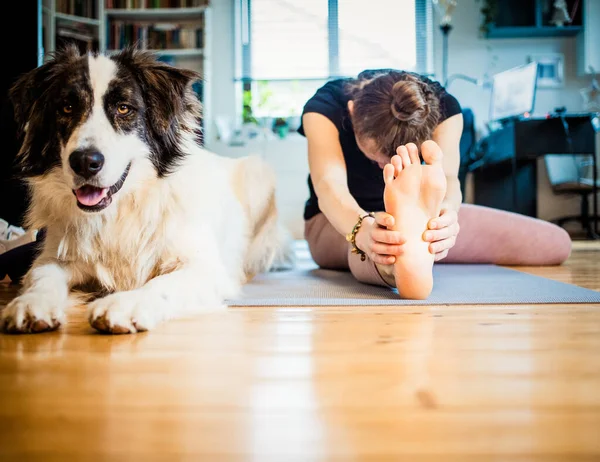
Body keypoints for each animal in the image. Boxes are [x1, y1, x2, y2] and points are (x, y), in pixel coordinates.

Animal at [0, 47, 290, 334]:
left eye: (123, 108)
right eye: (67, 107)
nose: (84, 161)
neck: (121, 210)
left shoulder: (204, 268)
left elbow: (161, 285)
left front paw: (124, 305)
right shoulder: (55, 255)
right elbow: (41, 276)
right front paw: (30, 303)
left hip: (258, 172)